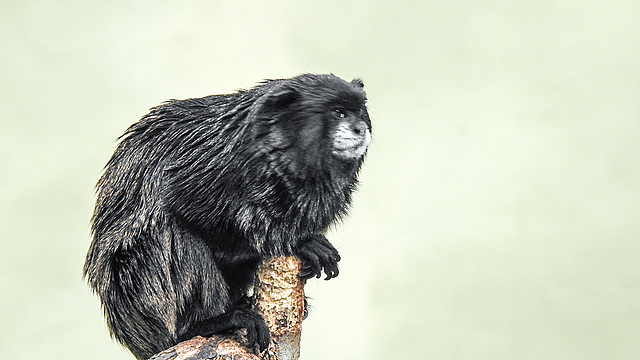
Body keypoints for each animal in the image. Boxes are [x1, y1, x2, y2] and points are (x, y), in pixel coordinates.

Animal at [84, 74, 370, 360]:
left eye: (359, 112)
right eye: (339, 113)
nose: (360, 129)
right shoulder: (210, 167)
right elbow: (188, 213)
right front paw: (301, 244)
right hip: (140, 295)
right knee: (173, 234)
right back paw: (204, 324)